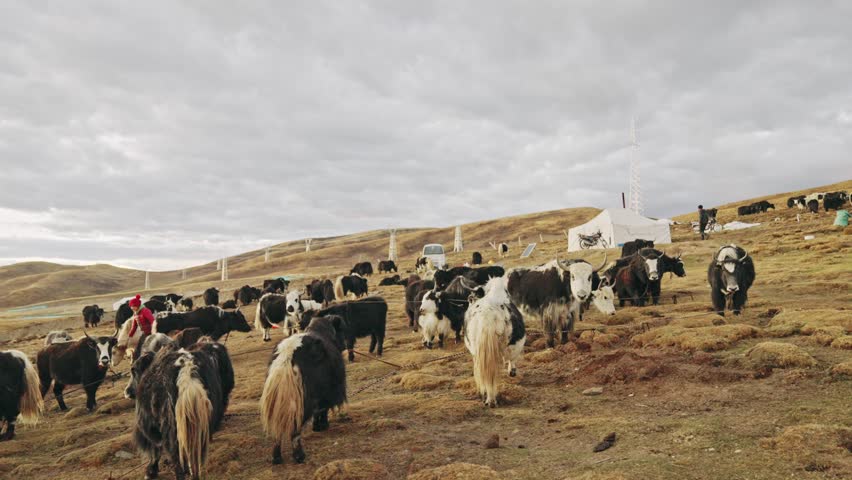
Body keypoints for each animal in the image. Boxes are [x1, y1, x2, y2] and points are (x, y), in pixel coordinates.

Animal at [134, 341, 234, 480]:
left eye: (134, 372)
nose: (128, 392)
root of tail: (187, 372)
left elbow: (155, 450)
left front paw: (150, 472)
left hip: (171, 426)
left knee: (176, 456)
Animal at [260, 315, 346, 465]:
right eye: (341, 329)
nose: (346, 345)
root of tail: (287, 357)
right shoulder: (326, 393)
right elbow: (322, 409)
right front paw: (322, 425)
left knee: (277, 428)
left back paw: (276, 458)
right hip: (303, 401)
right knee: (295, 428)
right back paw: (299, 456)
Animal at [464, 276, 525, 408]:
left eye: (471, 298)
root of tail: (487, 313)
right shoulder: (515, 346)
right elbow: (512, 359)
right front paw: (512, 372)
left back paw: (487, 399)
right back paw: (491, 400)